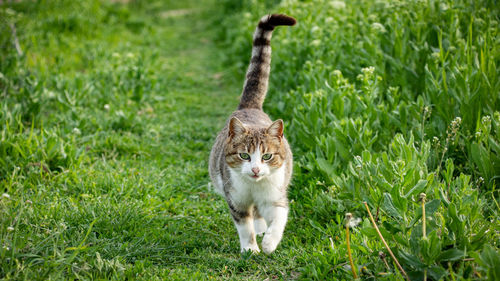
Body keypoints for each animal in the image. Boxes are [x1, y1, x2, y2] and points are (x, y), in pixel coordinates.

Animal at [208, 14, 294, 253]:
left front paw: (269, 243)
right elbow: (244, 227)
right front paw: (250, 249)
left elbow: (280, 217)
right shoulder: (235, 198)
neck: (255, 187)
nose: (255, 169)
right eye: (244, 155)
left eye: (267, 156)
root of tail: (250, 107)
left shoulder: (275, 195)